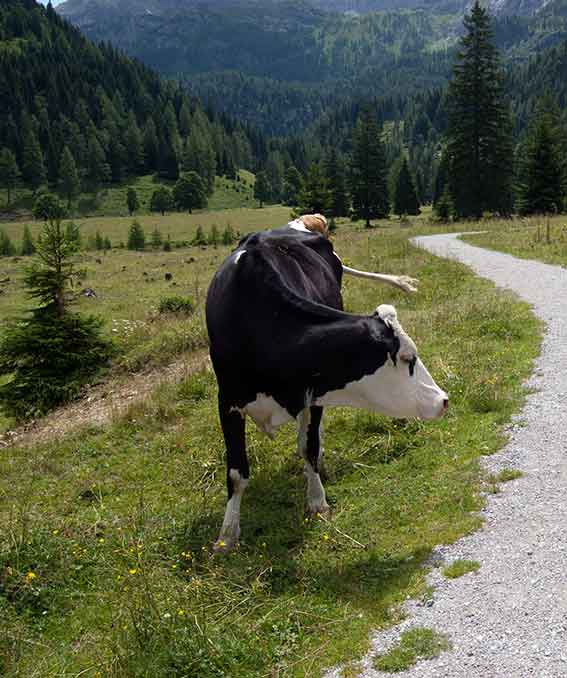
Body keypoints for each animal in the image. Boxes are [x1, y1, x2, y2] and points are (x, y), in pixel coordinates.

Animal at [204, 223, 448, 552]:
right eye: (408, 358)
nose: (443, 399)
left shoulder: (315, 393)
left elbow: (309, 446)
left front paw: (317, 500)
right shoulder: (228, 401)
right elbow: (236, 472)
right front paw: (227, 535)